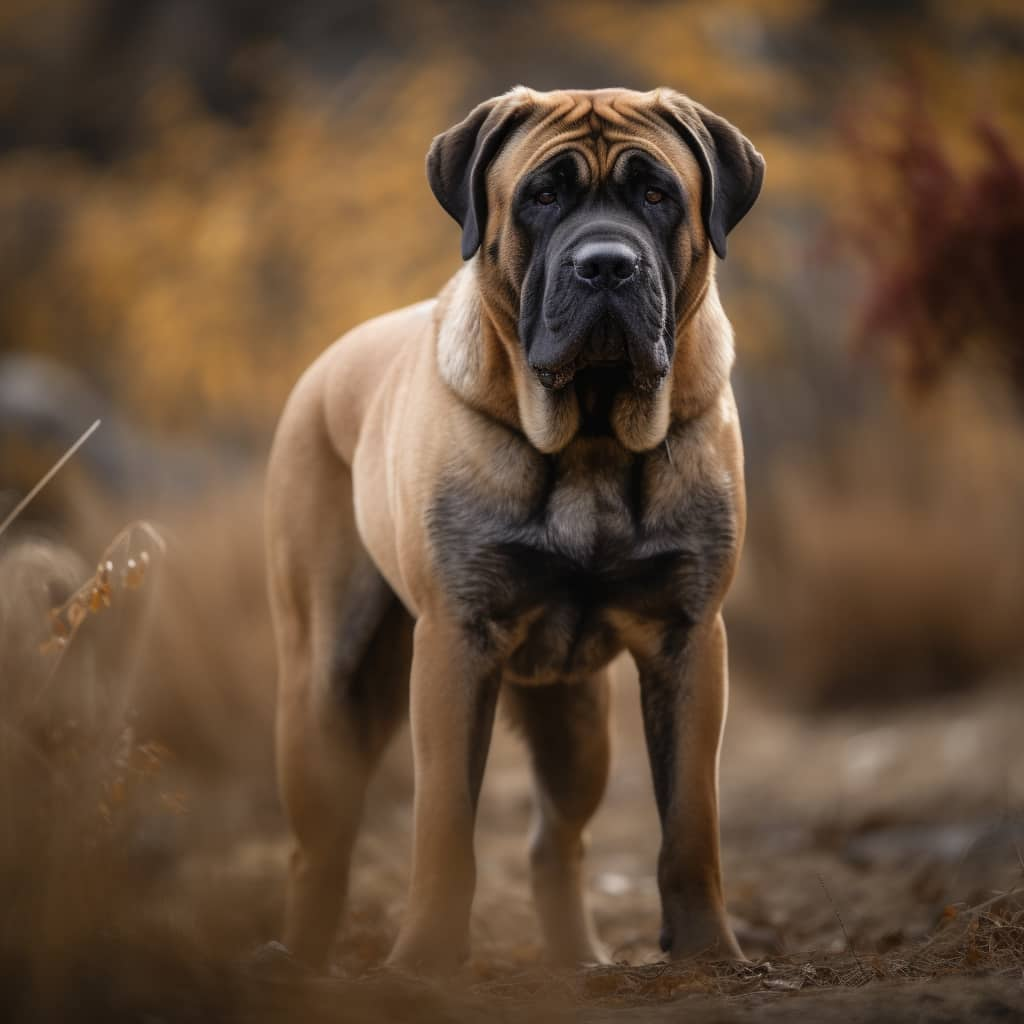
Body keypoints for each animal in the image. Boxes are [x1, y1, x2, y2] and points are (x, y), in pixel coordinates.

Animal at [264, 86, 761, 966]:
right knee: (320, 845)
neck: (591, 436)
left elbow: (689, 822)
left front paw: (710, 953)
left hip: (577, 720)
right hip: (325, 684)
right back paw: (302, 958)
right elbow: (443, 824)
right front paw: (423, 959)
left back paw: (577, 961)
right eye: (542, 195)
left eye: (657, 194)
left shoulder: (690, 636)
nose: (607, 264)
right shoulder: (455, 641)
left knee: (553, 842)